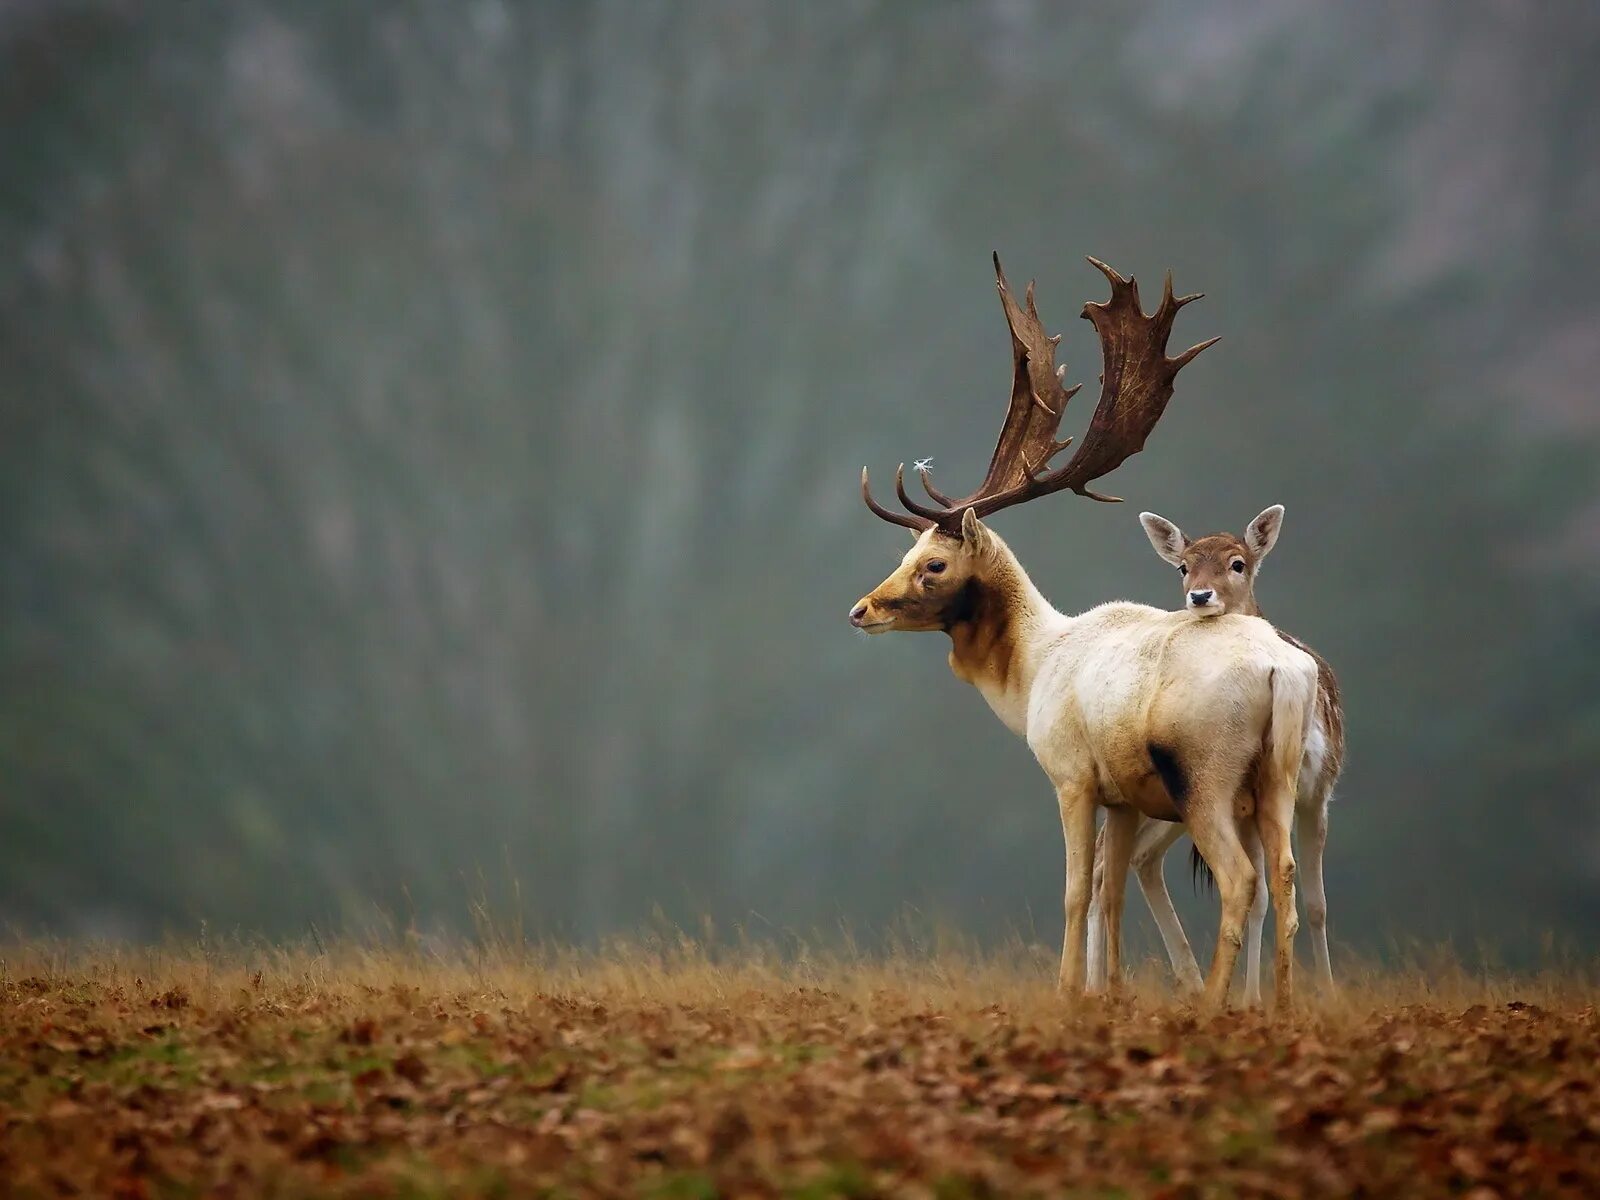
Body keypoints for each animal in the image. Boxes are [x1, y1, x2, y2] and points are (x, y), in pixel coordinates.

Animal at [851, 256, 1312, 1017]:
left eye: (934, 564)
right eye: (907, 551)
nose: (861, 609)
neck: (1033, 671)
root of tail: (1284, 672)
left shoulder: (1070, 774)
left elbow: (1074, 889)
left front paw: (1068, 989)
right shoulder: (1122, 794)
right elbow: (1111, 892)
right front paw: (1111, 991)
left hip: (1206, 775)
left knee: (1241, 879)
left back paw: (1212, 1003)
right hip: (1280, 774)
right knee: (1287, 876)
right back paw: (1277, 1004)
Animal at [1081, 508, 1344, 1004]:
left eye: (1237, 563)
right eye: (1183, 566)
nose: (1199, 596)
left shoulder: (1319, 789)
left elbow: (1315, 902)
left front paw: (1322, 993)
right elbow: (1265, 895)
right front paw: (1253, 998)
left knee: (1134, 858)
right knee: (1113, 857)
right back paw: (1099, 987)